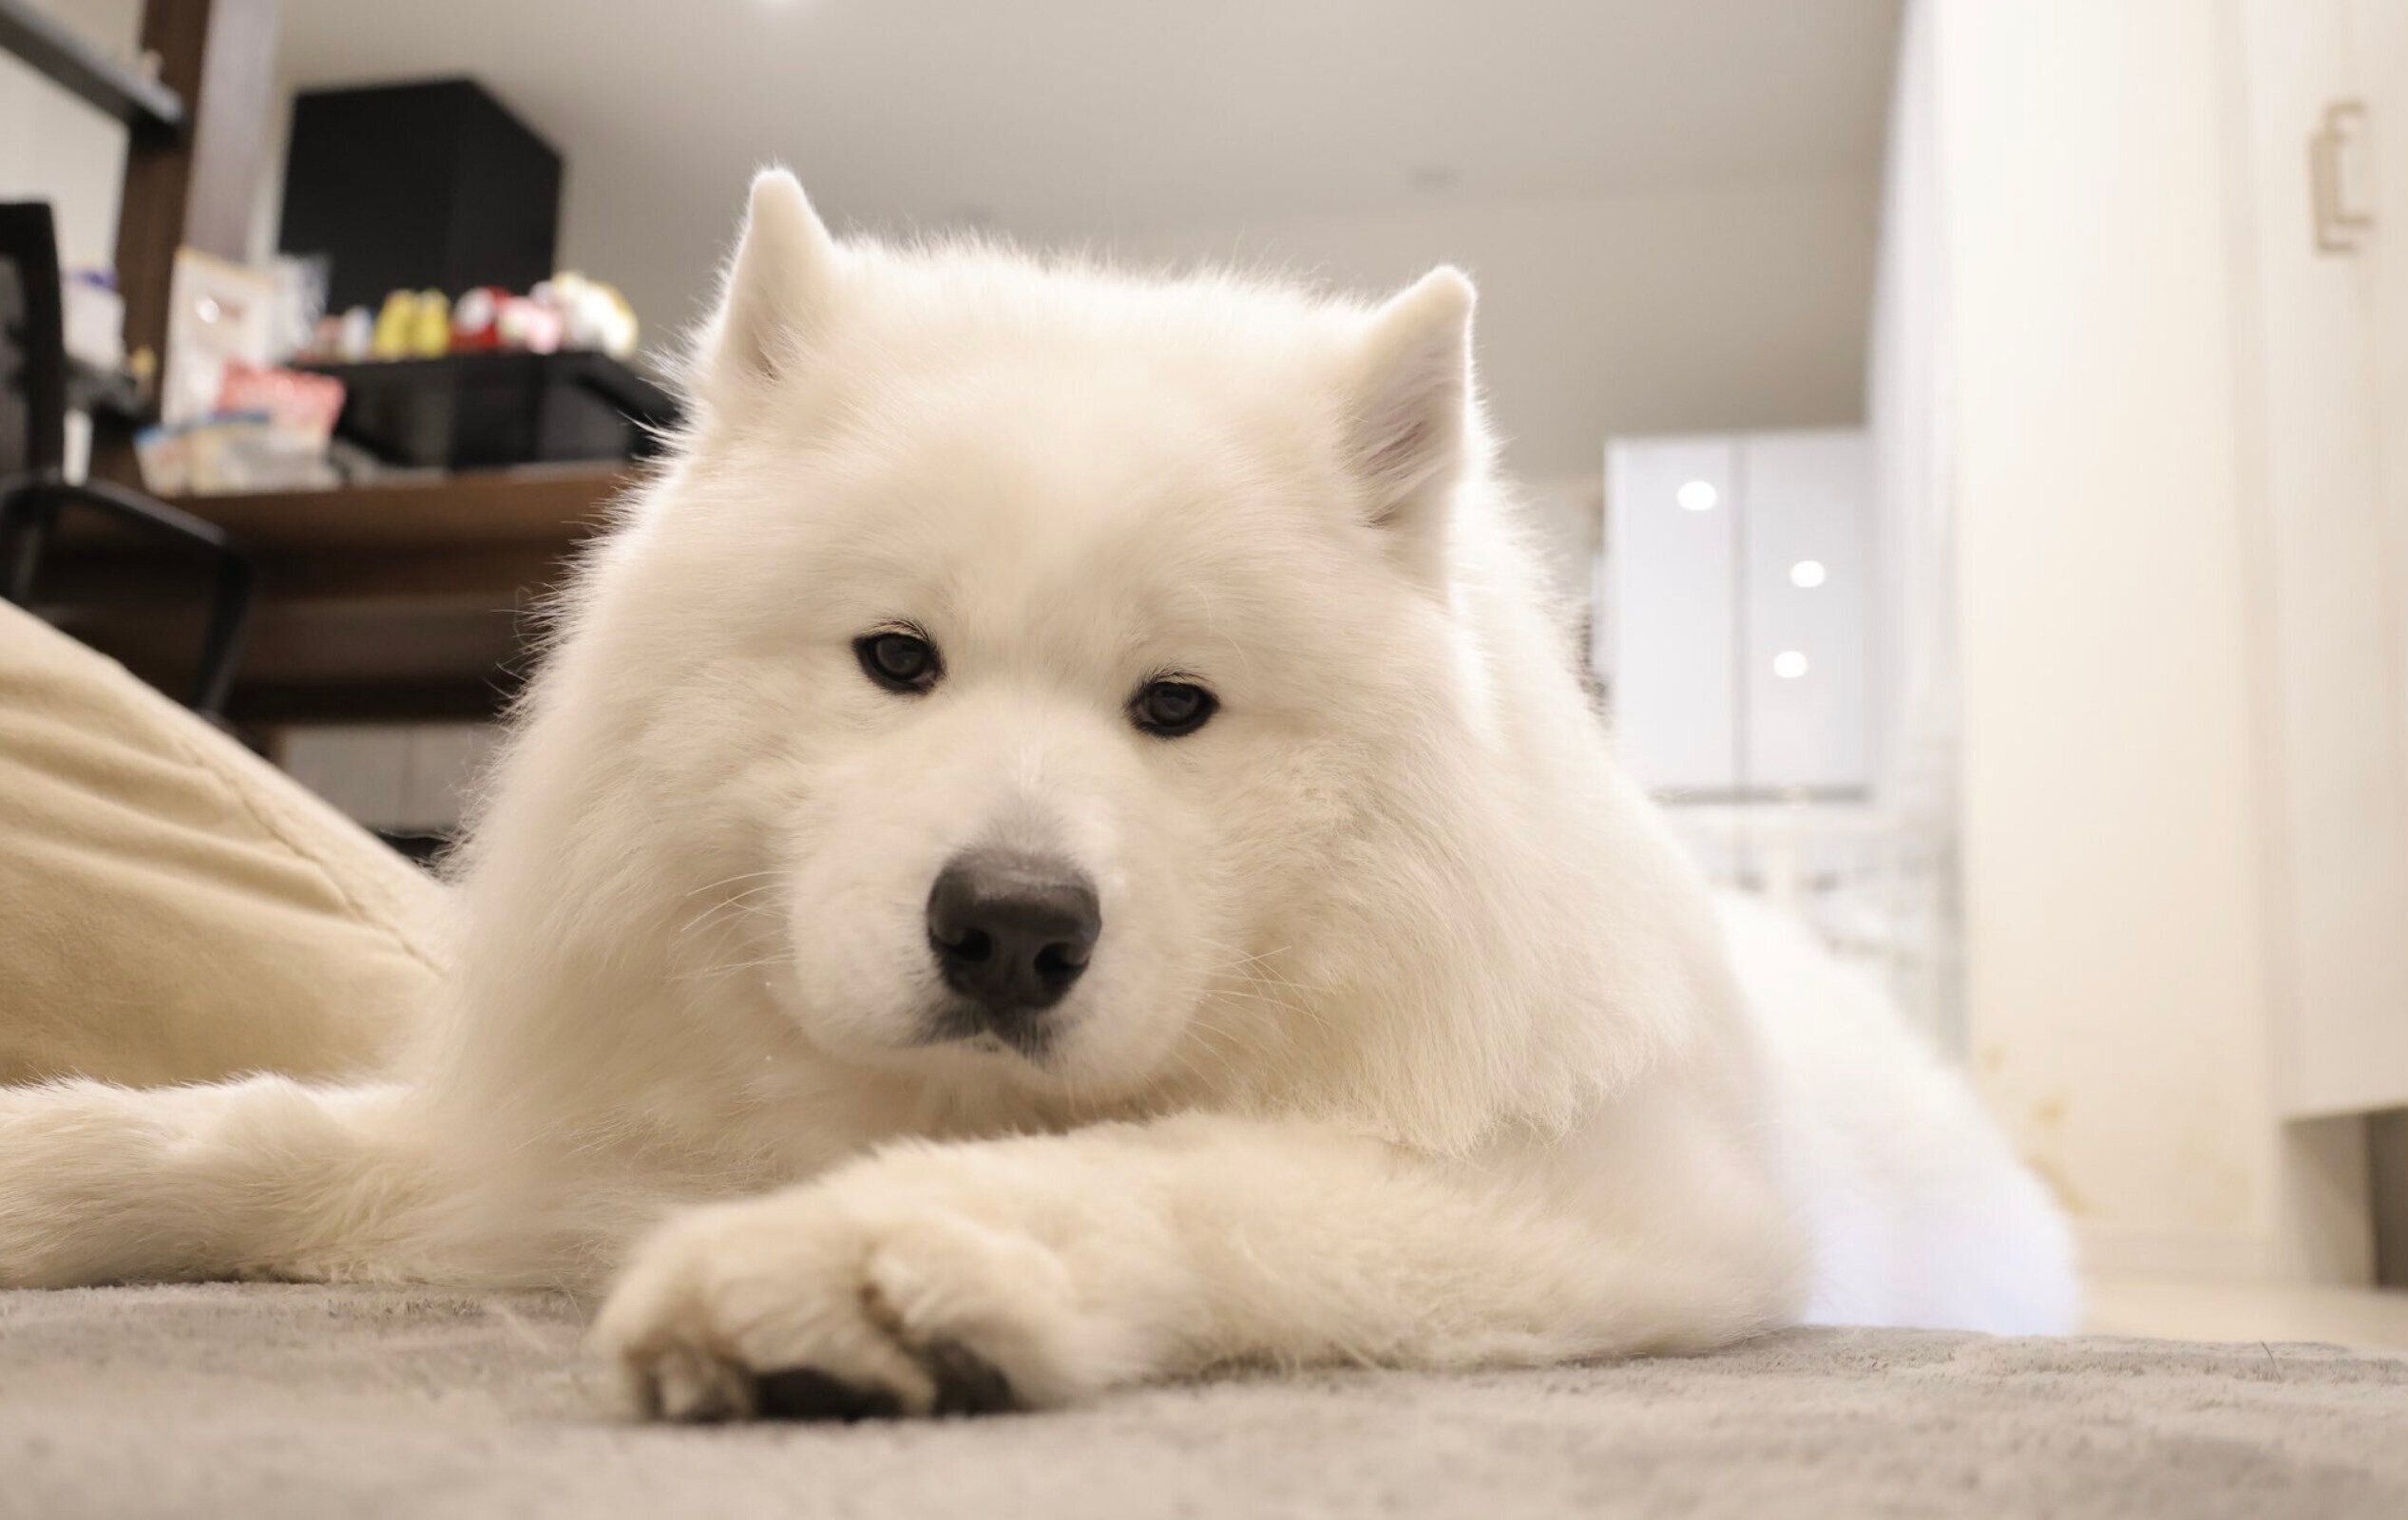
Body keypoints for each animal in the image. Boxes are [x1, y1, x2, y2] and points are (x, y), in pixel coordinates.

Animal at [0, 171, 2076, 1420]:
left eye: (1176, 708)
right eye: (896, 660)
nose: (1009, 926)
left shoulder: (1624, 1203)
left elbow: (1179, 1170)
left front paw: (865, 1267)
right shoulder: (572, 1140)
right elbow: (260, 1129)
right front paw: (52, 1164)